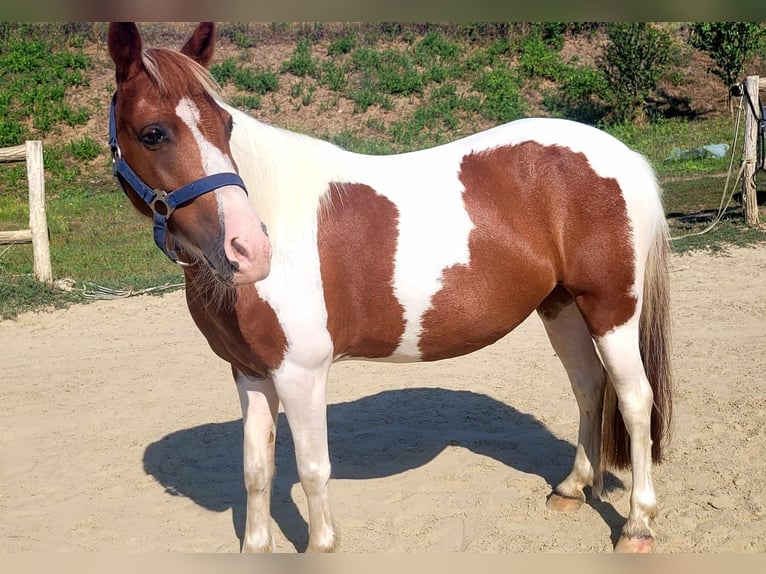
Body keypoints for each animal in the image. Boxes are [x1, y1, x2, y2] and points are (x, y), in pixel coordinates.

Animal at [106, 21, 672, 552]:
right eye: (153, 133)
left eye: (225, 125)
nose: (249, 249)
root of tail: (627, 159)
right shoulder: (250, 372)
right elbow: (256, 470)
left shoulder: (300, 374)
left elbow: (312, 468)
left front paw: (322, 545)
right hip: (561, 307)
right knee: (589, 386)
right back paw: (573, 487)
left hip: (611, 308)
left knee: (634, 399)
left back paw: (638, 525)